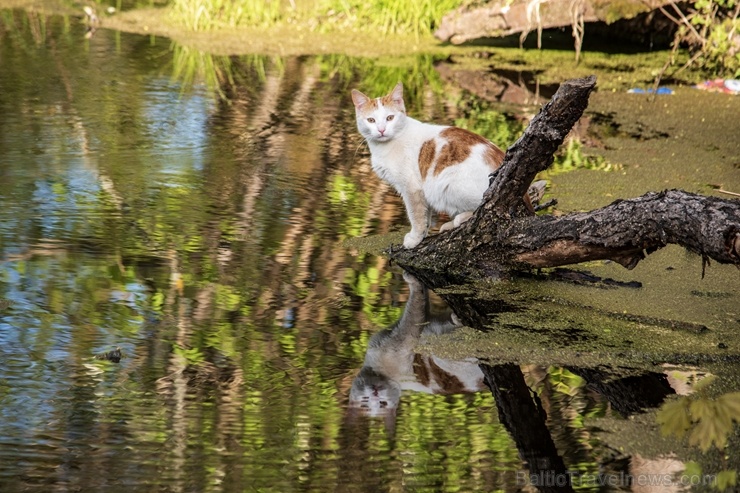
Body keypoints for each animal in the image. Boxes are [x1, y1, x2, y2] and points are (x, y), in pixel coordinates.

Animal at [350, 83, 536, 250]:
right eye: (371, 120)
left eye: (390, 118)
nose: (381, 130)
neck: (387, 144)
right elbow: (426, 214)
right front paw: (425, 231)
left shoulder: (411, 188)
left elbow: (416, 215)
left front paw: (415, 238)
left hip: (448, 185)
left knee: (486, 209)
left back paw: (458, 220)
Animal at [350, 270, 488, 418]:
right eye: (365, 401)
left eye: (383, 404)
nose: (375, 396)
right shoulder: (410, 330)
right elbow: (419, 301)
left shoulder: (408, 332)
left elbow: (417, 300)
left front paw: (412, 279)